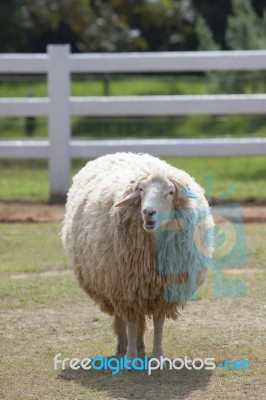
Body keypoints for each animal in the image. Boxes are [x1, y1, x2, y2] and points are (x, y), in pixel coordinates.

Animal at [61, 152, 213, 360]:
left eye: (170, 192)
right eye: (141, 190)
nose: (148, 212)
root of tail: (119, 153)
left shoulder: (163, 290)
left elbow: (158, 321)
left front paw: (157, 355)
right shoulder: (126, 288)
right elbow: (131, 322)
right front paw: (131, 356)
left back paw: (141, 346)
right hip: (112, 282)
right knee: (120, 317)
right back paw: (123, 348)